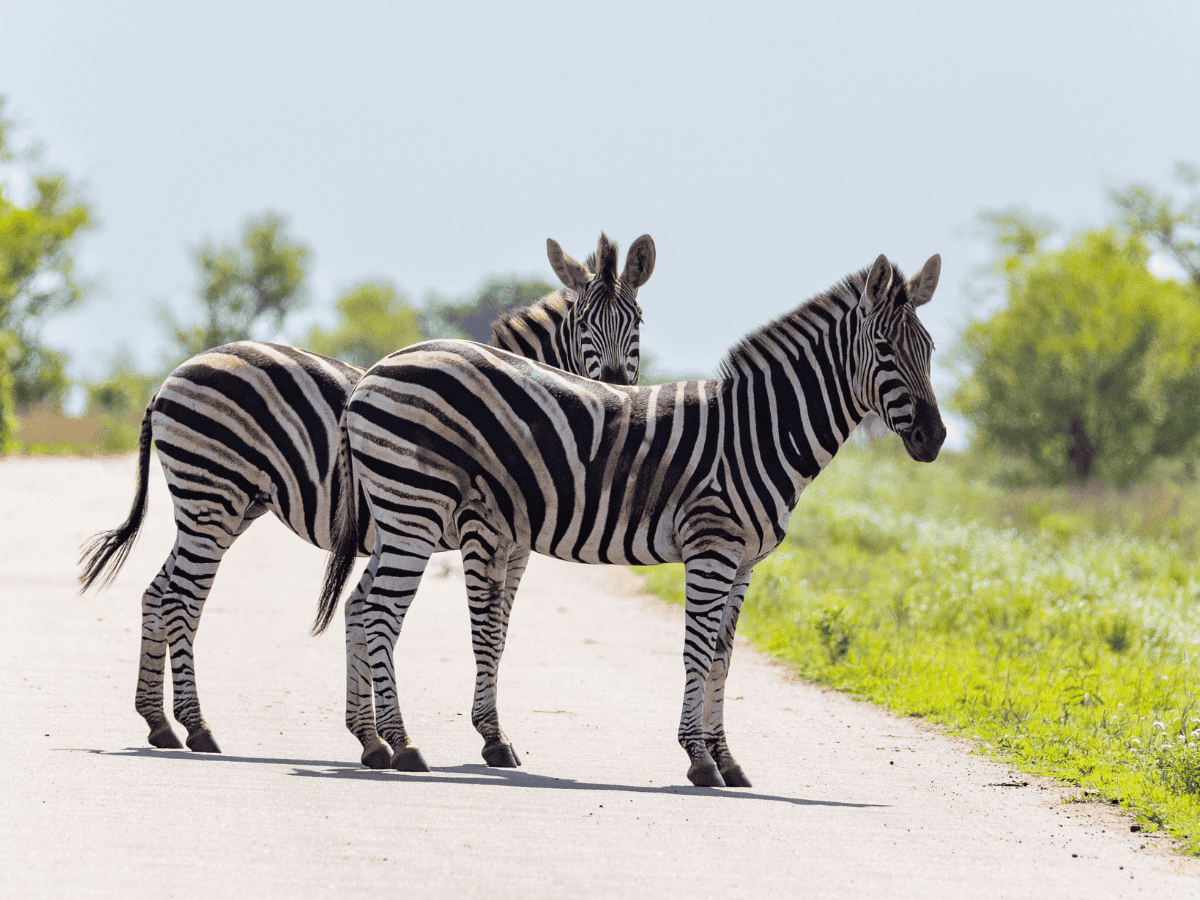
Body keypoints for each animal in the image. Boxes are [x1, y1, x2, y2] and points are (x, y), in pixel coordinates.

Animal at [78, 232, 656, 756]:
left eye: (638, 320)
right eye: (582, 322)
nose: (616, 384)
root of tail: (170, 377)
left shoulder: (514, 545)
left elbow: (491, 628)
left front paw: (377, 735)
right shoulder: (482, 532)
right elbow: (484, 630)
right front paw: (490, 738)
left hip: (227, 507)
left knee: (158, 592)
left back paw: (159, 723)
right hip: (212, 497)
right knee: (182, 599)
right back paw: (198, 727)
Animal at [314, 252, 945, 787]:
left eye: (931, 349)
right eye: (885, 349)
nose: (935, 438)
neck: (757, 433)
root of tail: (381, 366)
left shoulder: (744, 561)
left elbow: (723, 656)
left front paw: (726, 759)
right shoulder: (712, 547)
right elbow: (696, 650)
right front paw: (698, 759)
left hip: (397, 513)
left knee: (360, 604)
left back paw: (373, 743)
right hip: (414, 507)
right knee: (381, 613)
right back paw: (404, 747)